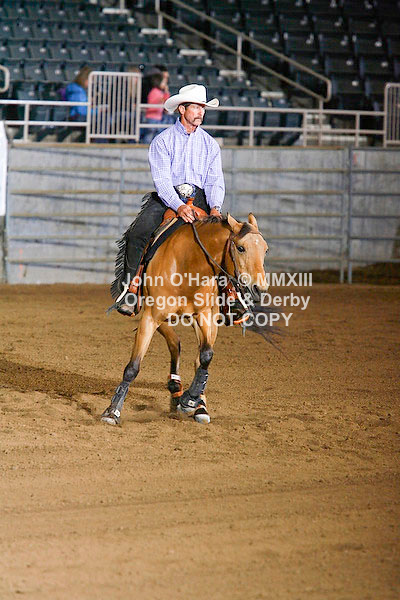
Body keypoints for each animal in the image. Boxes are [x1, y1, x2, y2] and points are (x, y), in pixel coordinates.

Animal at [101, 213, 269, 426]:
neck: (187, 265)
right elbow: (135, 365)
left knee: (198, 358)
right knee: (176, 345)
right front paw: (112, 411)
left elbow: (206, 356)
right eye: (240, 248)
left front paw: (190, 400)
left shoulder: (204, 315)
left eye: (265, 249)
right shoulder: (151, 316)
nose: (259, 288)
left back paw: (199, 406)